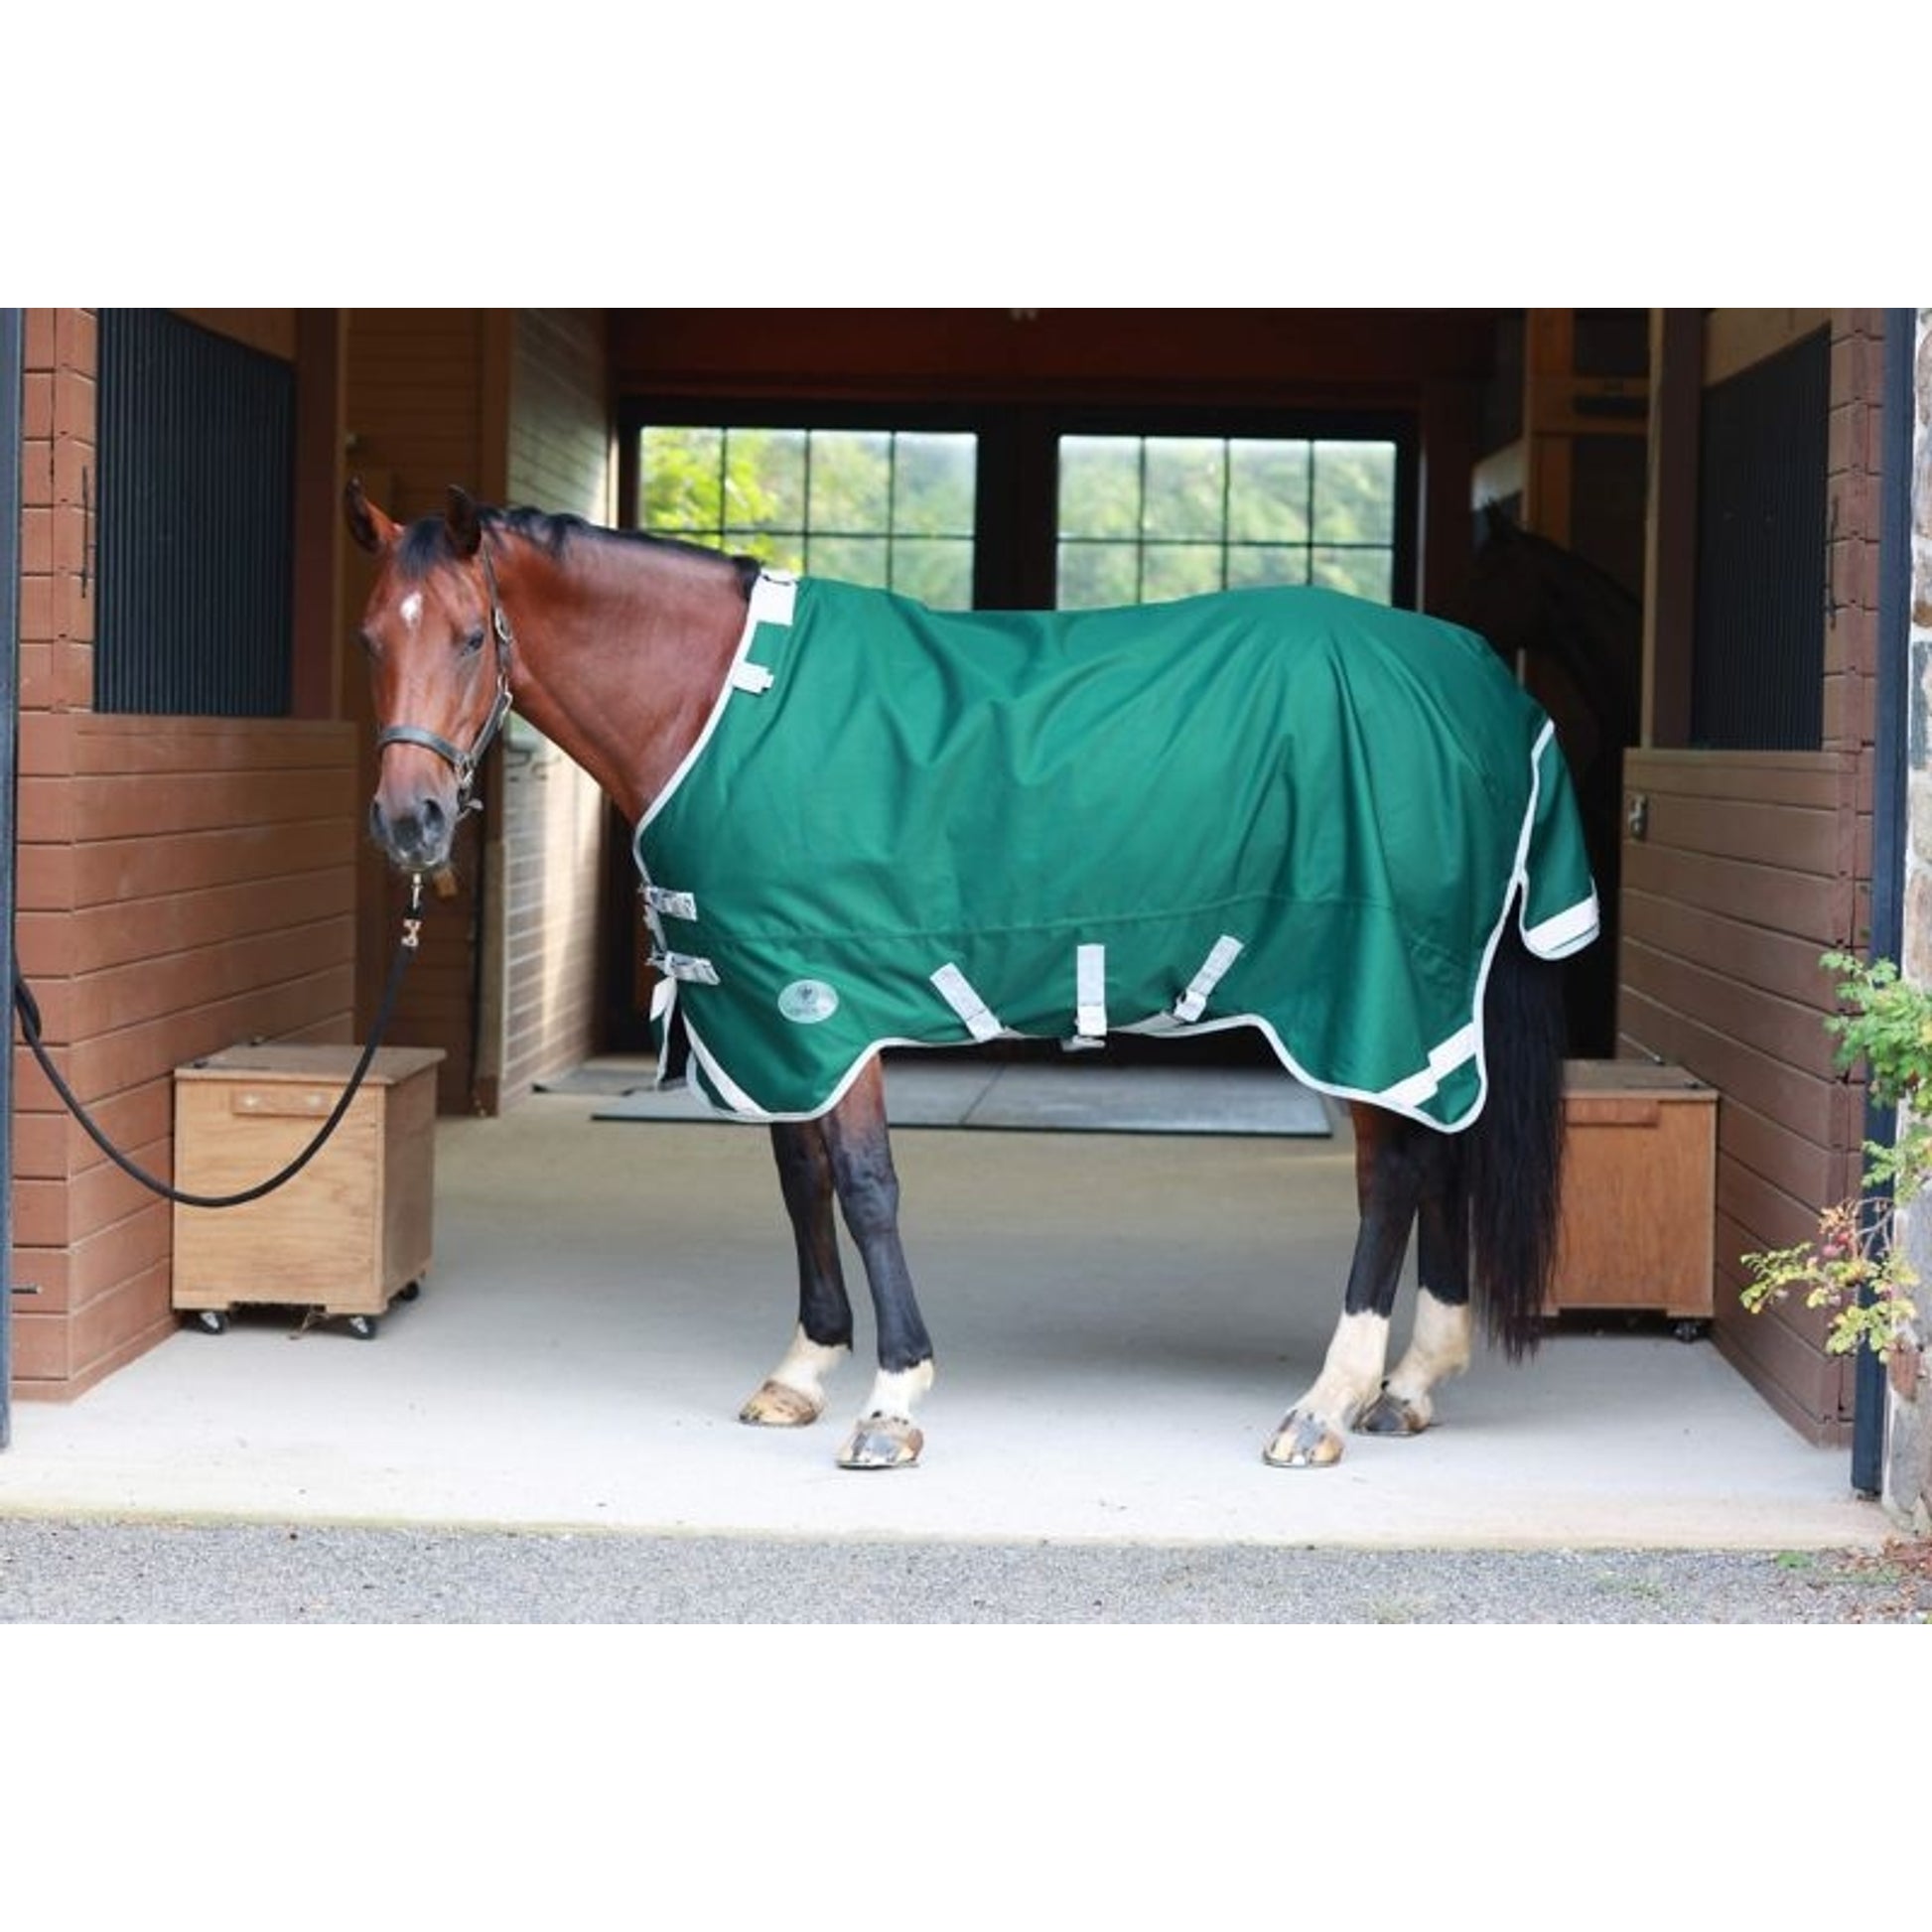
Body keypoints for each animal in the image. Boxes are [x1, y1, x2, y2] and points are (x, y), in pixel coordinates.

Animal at [346, 482, 1594, 1473]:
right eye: (368, 638)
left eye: (469, 636)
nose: (409, 824)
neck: (717, 701)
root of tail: (1482, 686)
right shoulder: (766, 1009)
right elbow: (800, 1179)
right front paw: (803, 1368)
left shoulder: (820, 1000)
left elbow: (864, 1187)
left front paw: (892, 1400)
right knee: (1440, 1153)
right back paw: (1408, 1384)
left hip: (1363, 994)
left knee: (1394, 1172)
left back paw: (1324, 1405)